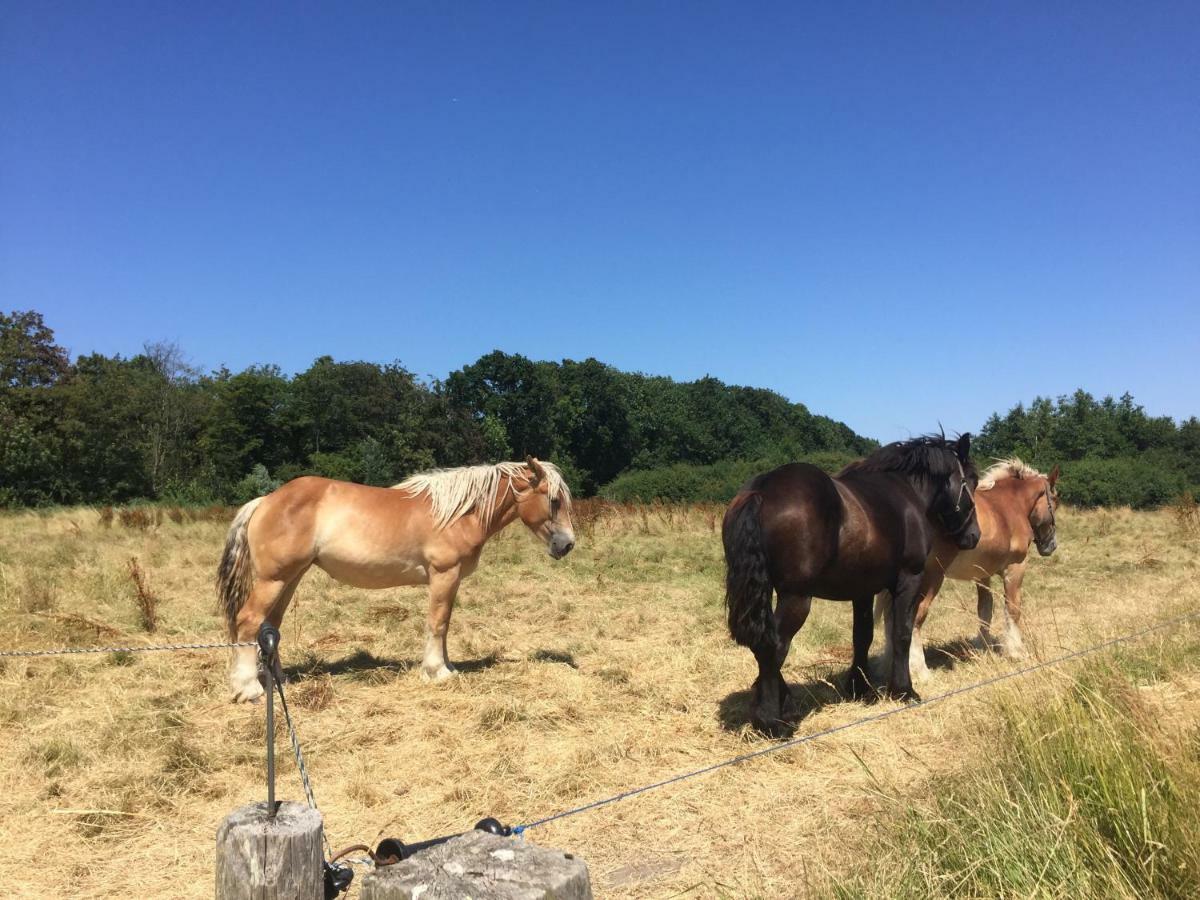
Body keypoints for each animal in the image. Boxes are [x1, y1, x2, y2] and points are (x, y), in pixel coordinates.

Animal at [218, 458, 573, 705]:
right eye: (554, 500)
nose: (567, 545)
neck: (459, 513)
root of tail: (265, 500)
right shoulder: (444, 575)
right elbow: (437, 623)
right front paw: (437, 672)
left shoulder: (451, 580)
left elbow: (444, 625)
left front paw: (446, 666)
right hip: (273, 579)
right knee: (249, 621)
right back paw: (249, 688)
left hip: (290, 578)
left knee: (270, 627)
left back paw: (277, 680)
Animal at [724, 434, 979, 734]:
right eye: (972, 480)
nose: (974, 535)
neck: (907, 493)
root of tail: (762, 490)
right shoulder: (909, 579)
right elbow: (901, 634)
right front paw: (903, 690)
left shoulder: (863, 590)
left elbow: (862, 636)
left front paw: (859, 688)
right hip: (796, 597)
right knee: (773, 646)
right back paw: (771, 719)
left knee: (764, 644)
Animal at [873, 460, 1060, 681]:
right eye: (1055, 501)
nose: (1051, 545)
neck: (1009, 505)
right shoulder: (1016, 568)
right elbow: (1013, 610)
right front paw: (1016, 652)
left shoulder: (982, 575)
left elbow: (985, 611)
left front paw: (983, 648)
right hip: (931, 579)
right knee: (913, 619)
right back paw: (920, 671)